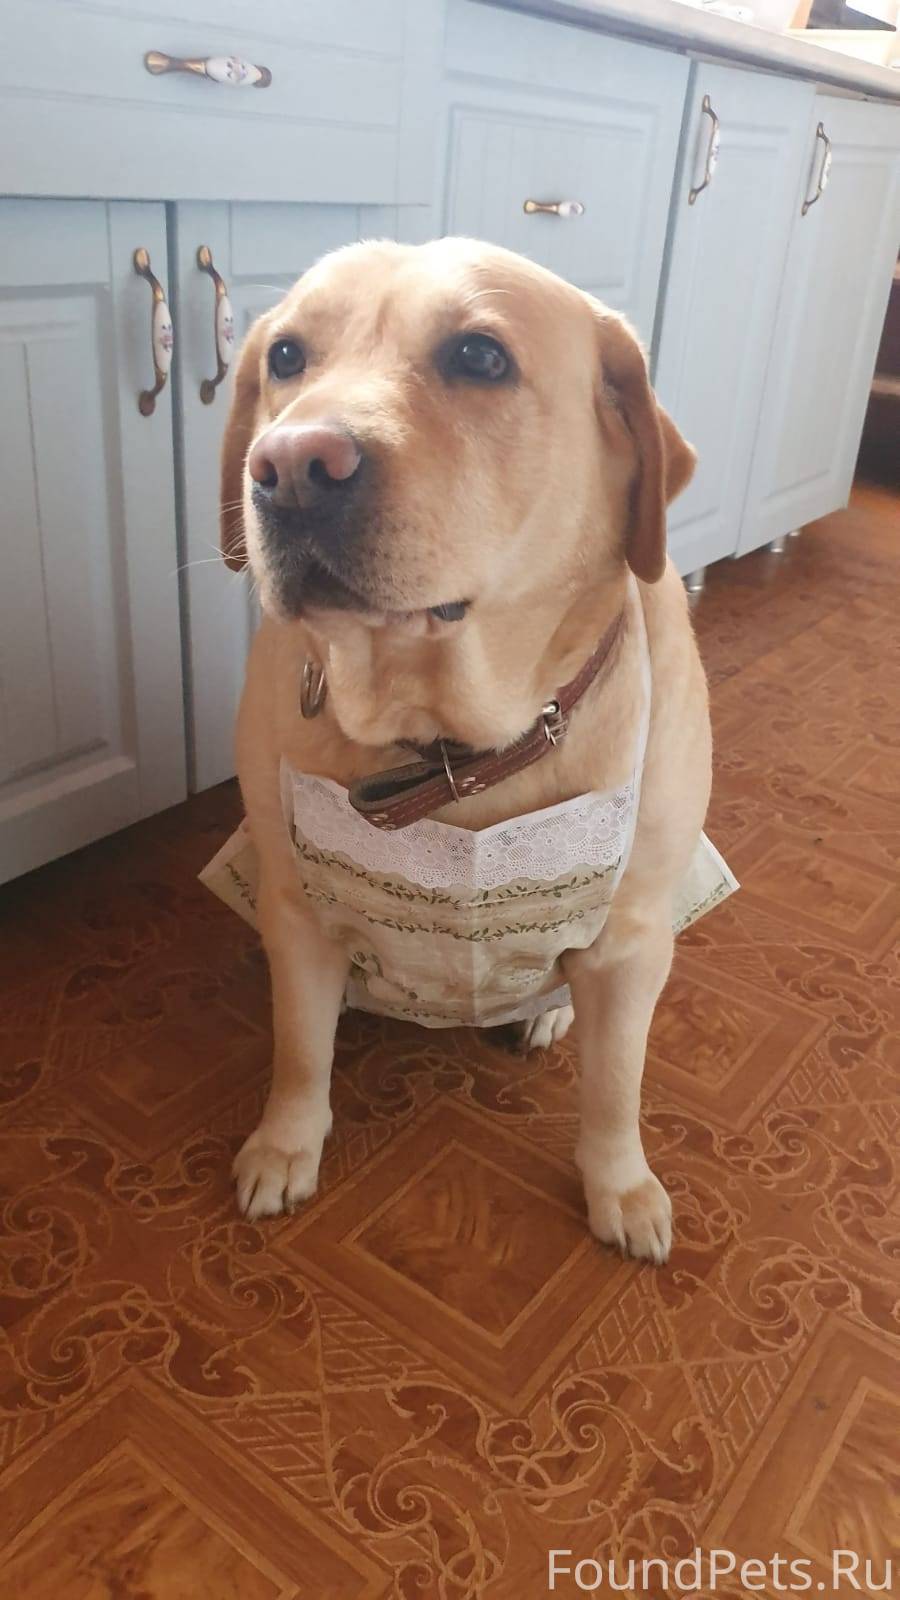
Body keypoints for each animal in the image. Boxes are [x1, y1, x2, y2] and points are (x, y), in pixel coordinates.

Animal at [218, 237, 710, 1263]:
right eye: (285, 357)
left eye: (480, 357)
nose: (287, 465)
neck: (450, 736)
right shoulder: (294, 905)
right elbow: (298, 1050)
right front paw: (286, 1143)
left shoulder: (637, 940)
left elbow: (618, 1086)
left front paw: (621, 1186)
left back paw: (552, 1011)